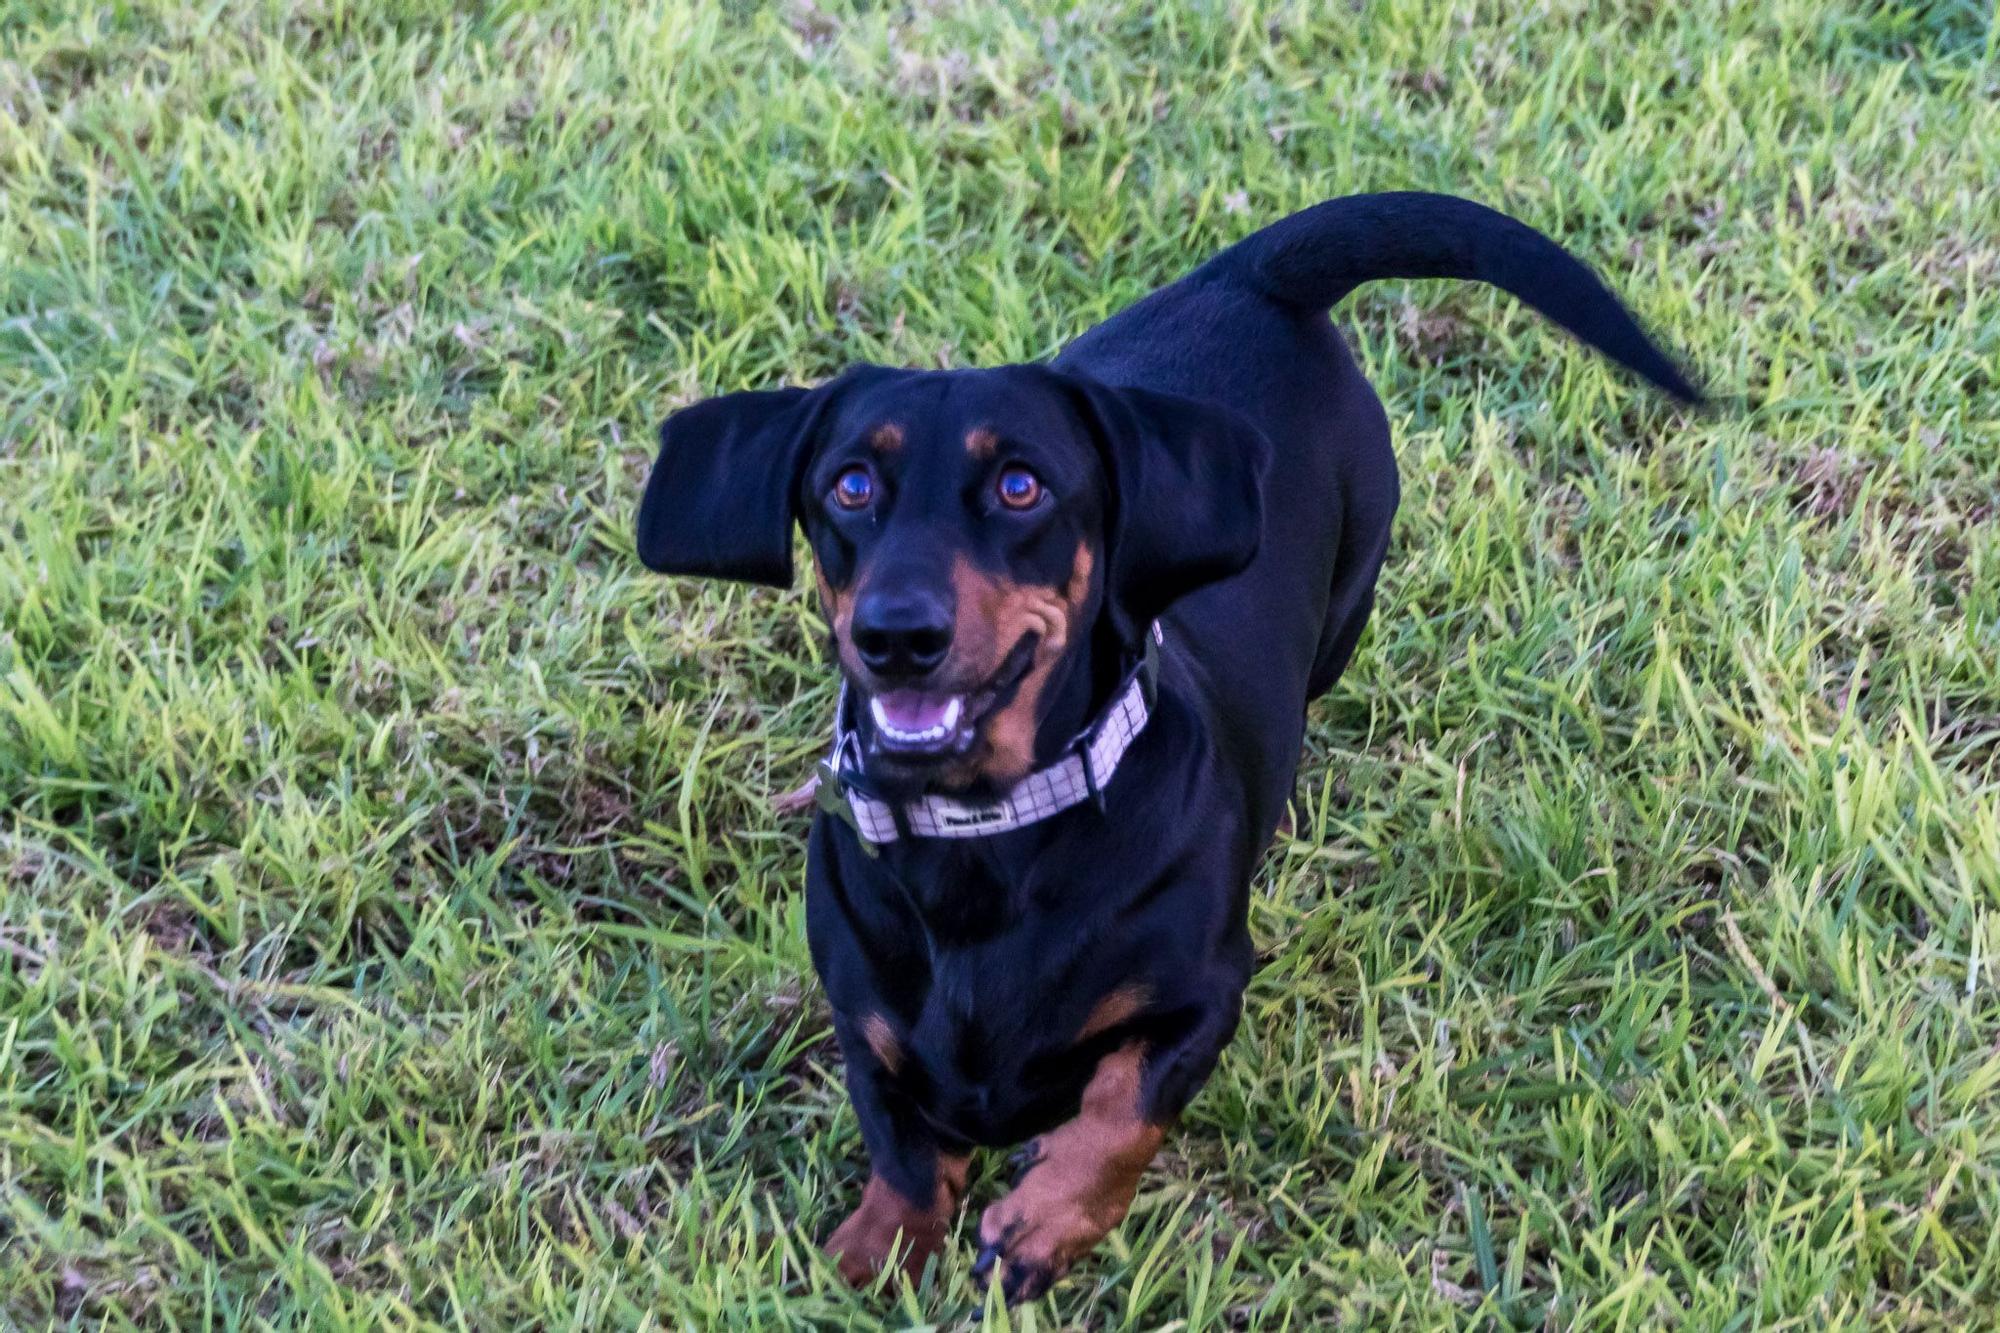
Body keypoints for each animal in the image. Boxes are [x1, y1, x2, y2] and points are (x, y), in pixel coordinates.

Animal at [632, 192, 1696, 1288]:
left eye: (1020, 486)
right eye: (847, 486)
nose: (896, 634)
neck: (987, 837)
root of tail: (1246, 278)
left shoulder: (1203, 997)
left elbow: (1120, 1110)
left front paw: (1044, 1218)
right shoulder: (863, 1018)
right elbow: (901, 1140)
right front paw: (880, 1243)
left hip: (1348, 602)